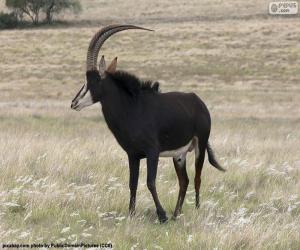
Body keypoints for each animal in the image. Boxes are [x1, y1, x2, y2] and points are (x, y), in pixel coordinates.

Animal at [71, 23, 225, 223]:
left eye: (93, 80)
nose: (74, 103)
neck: (132, 108)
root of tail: (198, 102)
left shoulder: (153, 152)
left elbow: (150, 182)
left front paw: (162, 215)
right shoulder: (133, 155)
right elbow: (132, 183)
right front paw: (131, 214)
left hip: (201, 145)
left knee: (197, 178)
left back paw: (195, 211)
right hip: (179, 155)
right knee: (184, 181)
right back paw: (176, 214)